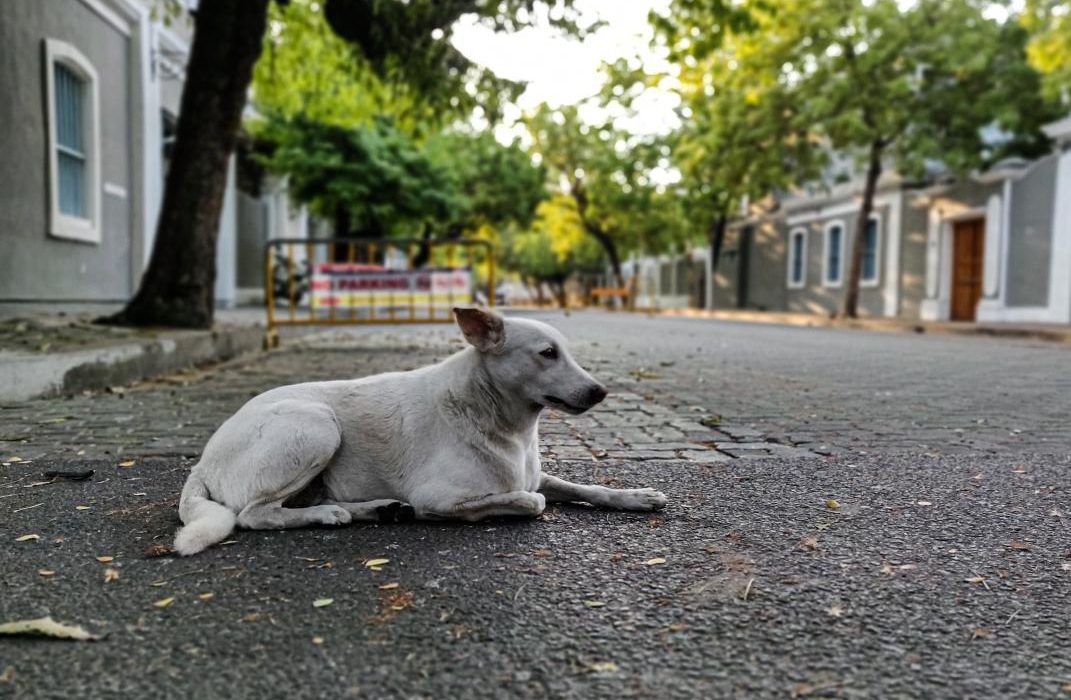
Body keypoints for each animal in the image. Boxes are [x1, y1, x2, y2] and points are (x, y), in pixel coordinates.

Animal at [172, 310, 664, 556]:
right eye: (547, 353)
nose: (601, 392)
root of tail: (202, 463)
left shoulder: (535, 473)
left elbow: (585, 487)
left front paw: (638, 496)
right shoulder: (441, 497)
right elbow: (531, 501)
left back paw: (377, 509)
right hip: (315, 425)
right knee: (254, 514)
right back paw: (329, 515)